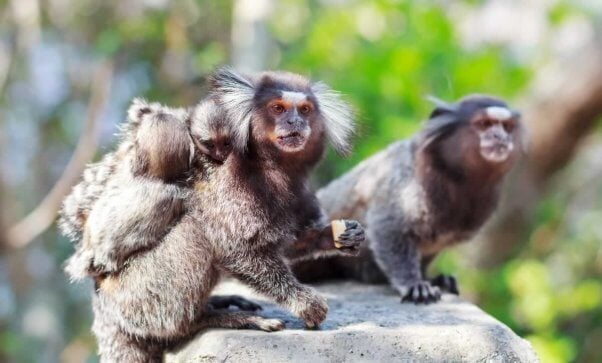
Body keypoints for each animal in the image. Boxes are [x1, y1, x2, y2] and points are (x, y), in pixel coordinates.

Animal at [300, 94, 524, 304]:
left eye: (507, 127)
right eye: (484, 124)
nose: (500, 137)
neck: (456, 179)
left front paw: (432, 278)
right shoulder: (405, 186)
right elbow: (388, 228)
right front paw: (414, 284)